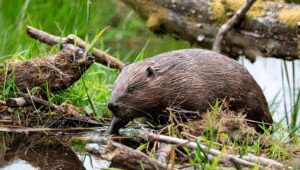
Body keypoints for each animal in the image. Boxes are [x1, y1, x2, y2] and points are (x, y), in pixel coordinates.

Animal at [105, 48, 272, 134]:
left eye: (131, 88)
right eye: (114, 86)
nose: (111, 105)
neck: (171, 77)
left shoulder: (191, 92)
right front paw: (110, 131)